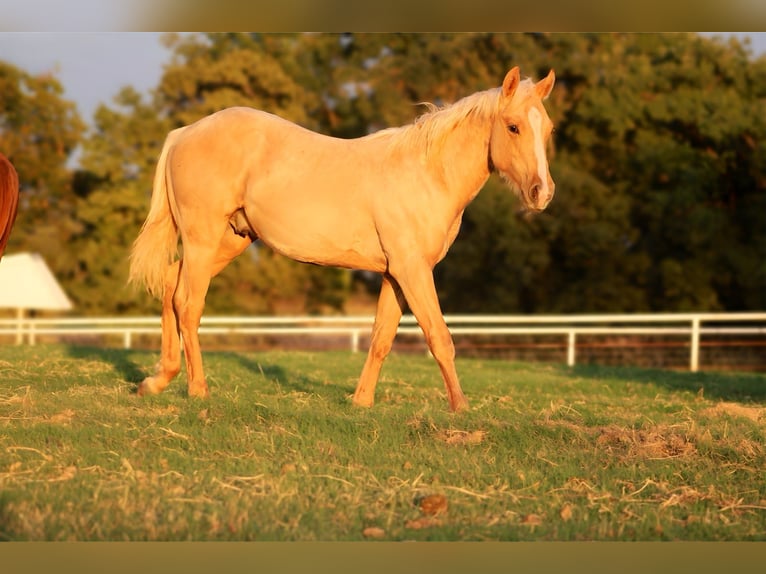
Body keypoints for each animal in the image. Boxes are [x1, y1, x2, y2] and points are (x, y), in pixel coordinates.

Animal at [130, 66, 556, 412]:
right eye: (513, 126)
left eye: (548, 129)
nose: (543, 193)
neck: (425, 174)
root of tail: (185, 133)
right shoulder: (413, 270)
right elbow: (439, 336)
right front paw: (461, 408)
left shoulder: (395, 275)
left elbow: (381, 337)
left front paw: (361, 402)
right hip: (203, 239)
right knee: (189, 304)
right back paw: (197, 390)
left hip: (230, 240)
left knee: (170, 285)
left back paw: (156, 381)